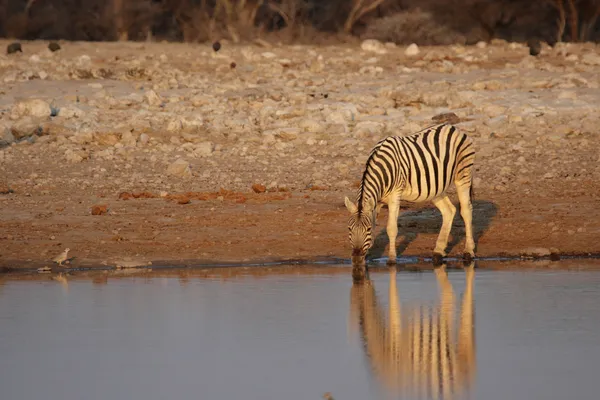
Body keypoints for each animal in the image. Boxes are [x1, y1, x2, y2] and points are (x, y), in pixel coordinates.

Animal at [344, 122, 476, 266]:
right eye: (349, 229)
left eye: (366, 229)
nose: (356, 259)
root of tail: (453, 127)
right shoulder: (377, 201)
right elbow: (374, 223)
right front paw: (367, 257)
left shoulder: (396, 194)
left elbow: (391, 228)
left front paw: (391, 259)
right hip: (436, 187)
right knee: (449, 211)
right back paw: (438, 251)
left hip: (463, 174)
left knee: (466, 210)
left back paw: (468, 252)